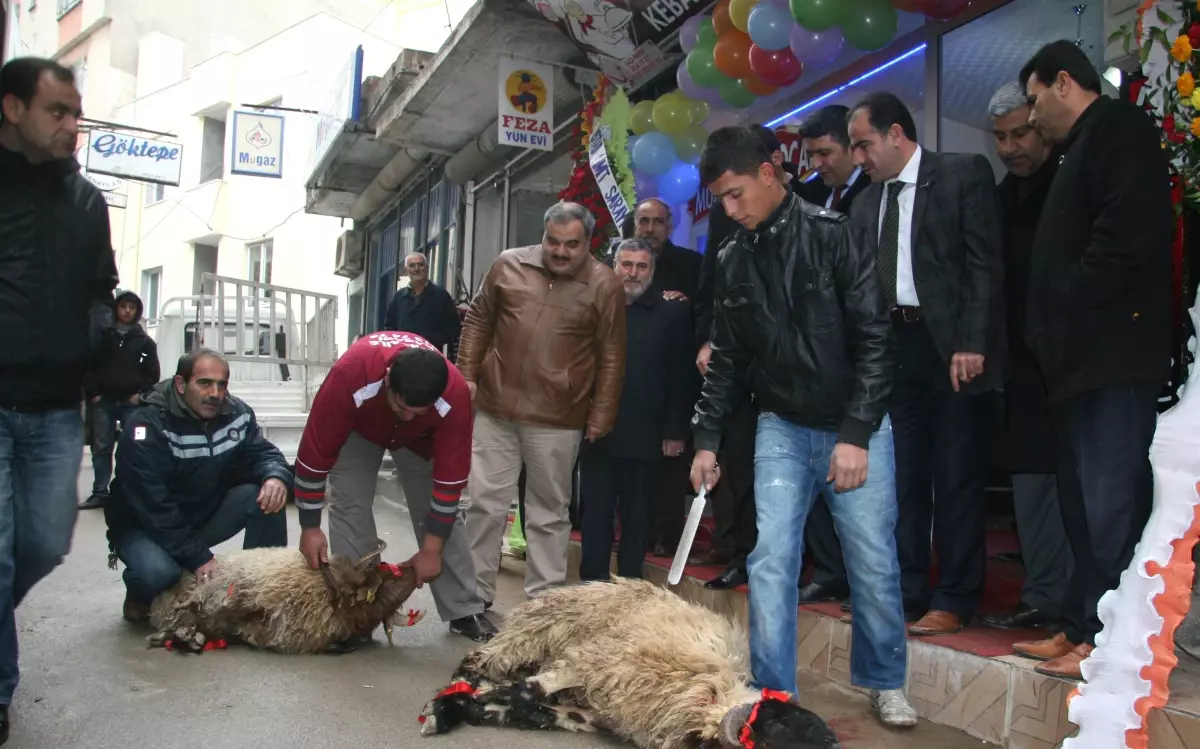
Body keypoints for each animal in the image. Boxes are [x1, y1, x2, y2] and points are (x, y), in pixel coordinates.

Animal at [417, 578, 840, 749]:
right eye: (781, 725)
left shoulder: (596, 712)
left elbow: (526, 708)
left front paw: (468, 708)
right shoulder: (596, 662)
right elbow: (525, 691)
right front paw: (445, 708)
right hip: (537, 634)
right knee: (479, 660)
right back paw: (462, 681)